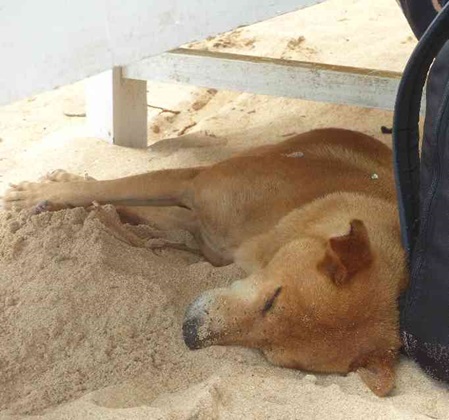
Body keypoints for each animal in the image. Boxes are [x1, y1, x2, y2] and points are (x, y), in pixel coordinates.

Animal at [2, 128, 406, 398]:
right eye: (272, 299)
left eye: (273, 355)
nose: (191, 335)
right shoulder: (194, 182)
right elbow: (108, 188)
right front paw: (39, 195)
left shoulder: (201, 228)